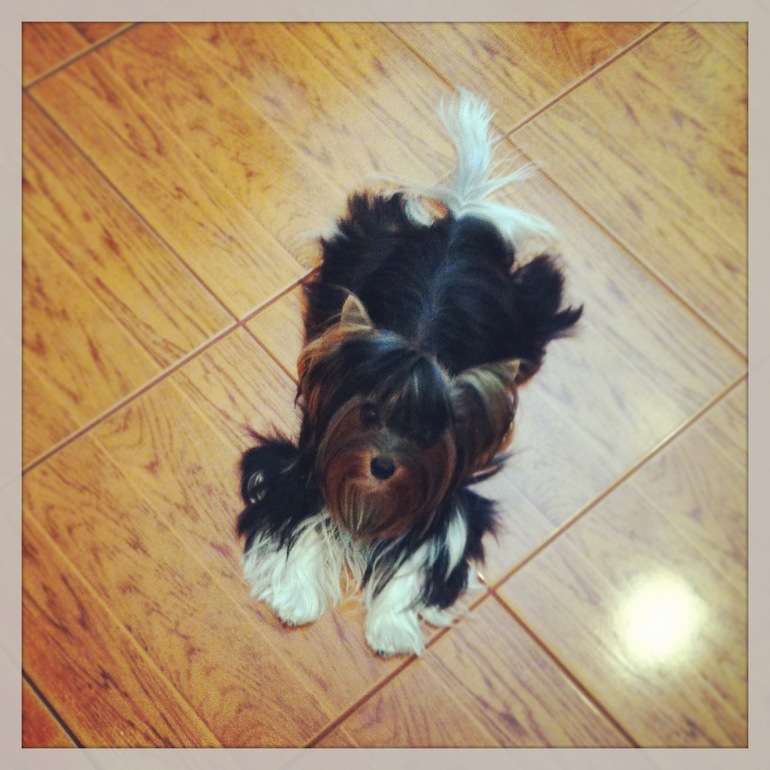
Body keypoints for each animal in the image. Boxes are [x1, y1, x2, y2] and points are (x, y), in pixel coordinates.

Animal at [236, 90, 582, 657]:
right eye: (369, 414)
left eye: (426, 435)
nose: (382, 466)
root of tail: (458, 224)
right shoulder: (302, 464)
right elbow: (300, 520)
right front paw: (296, 598)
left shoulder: (449, 508)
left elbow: (422, 558)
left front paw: (392, 629)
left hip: (529, 312)